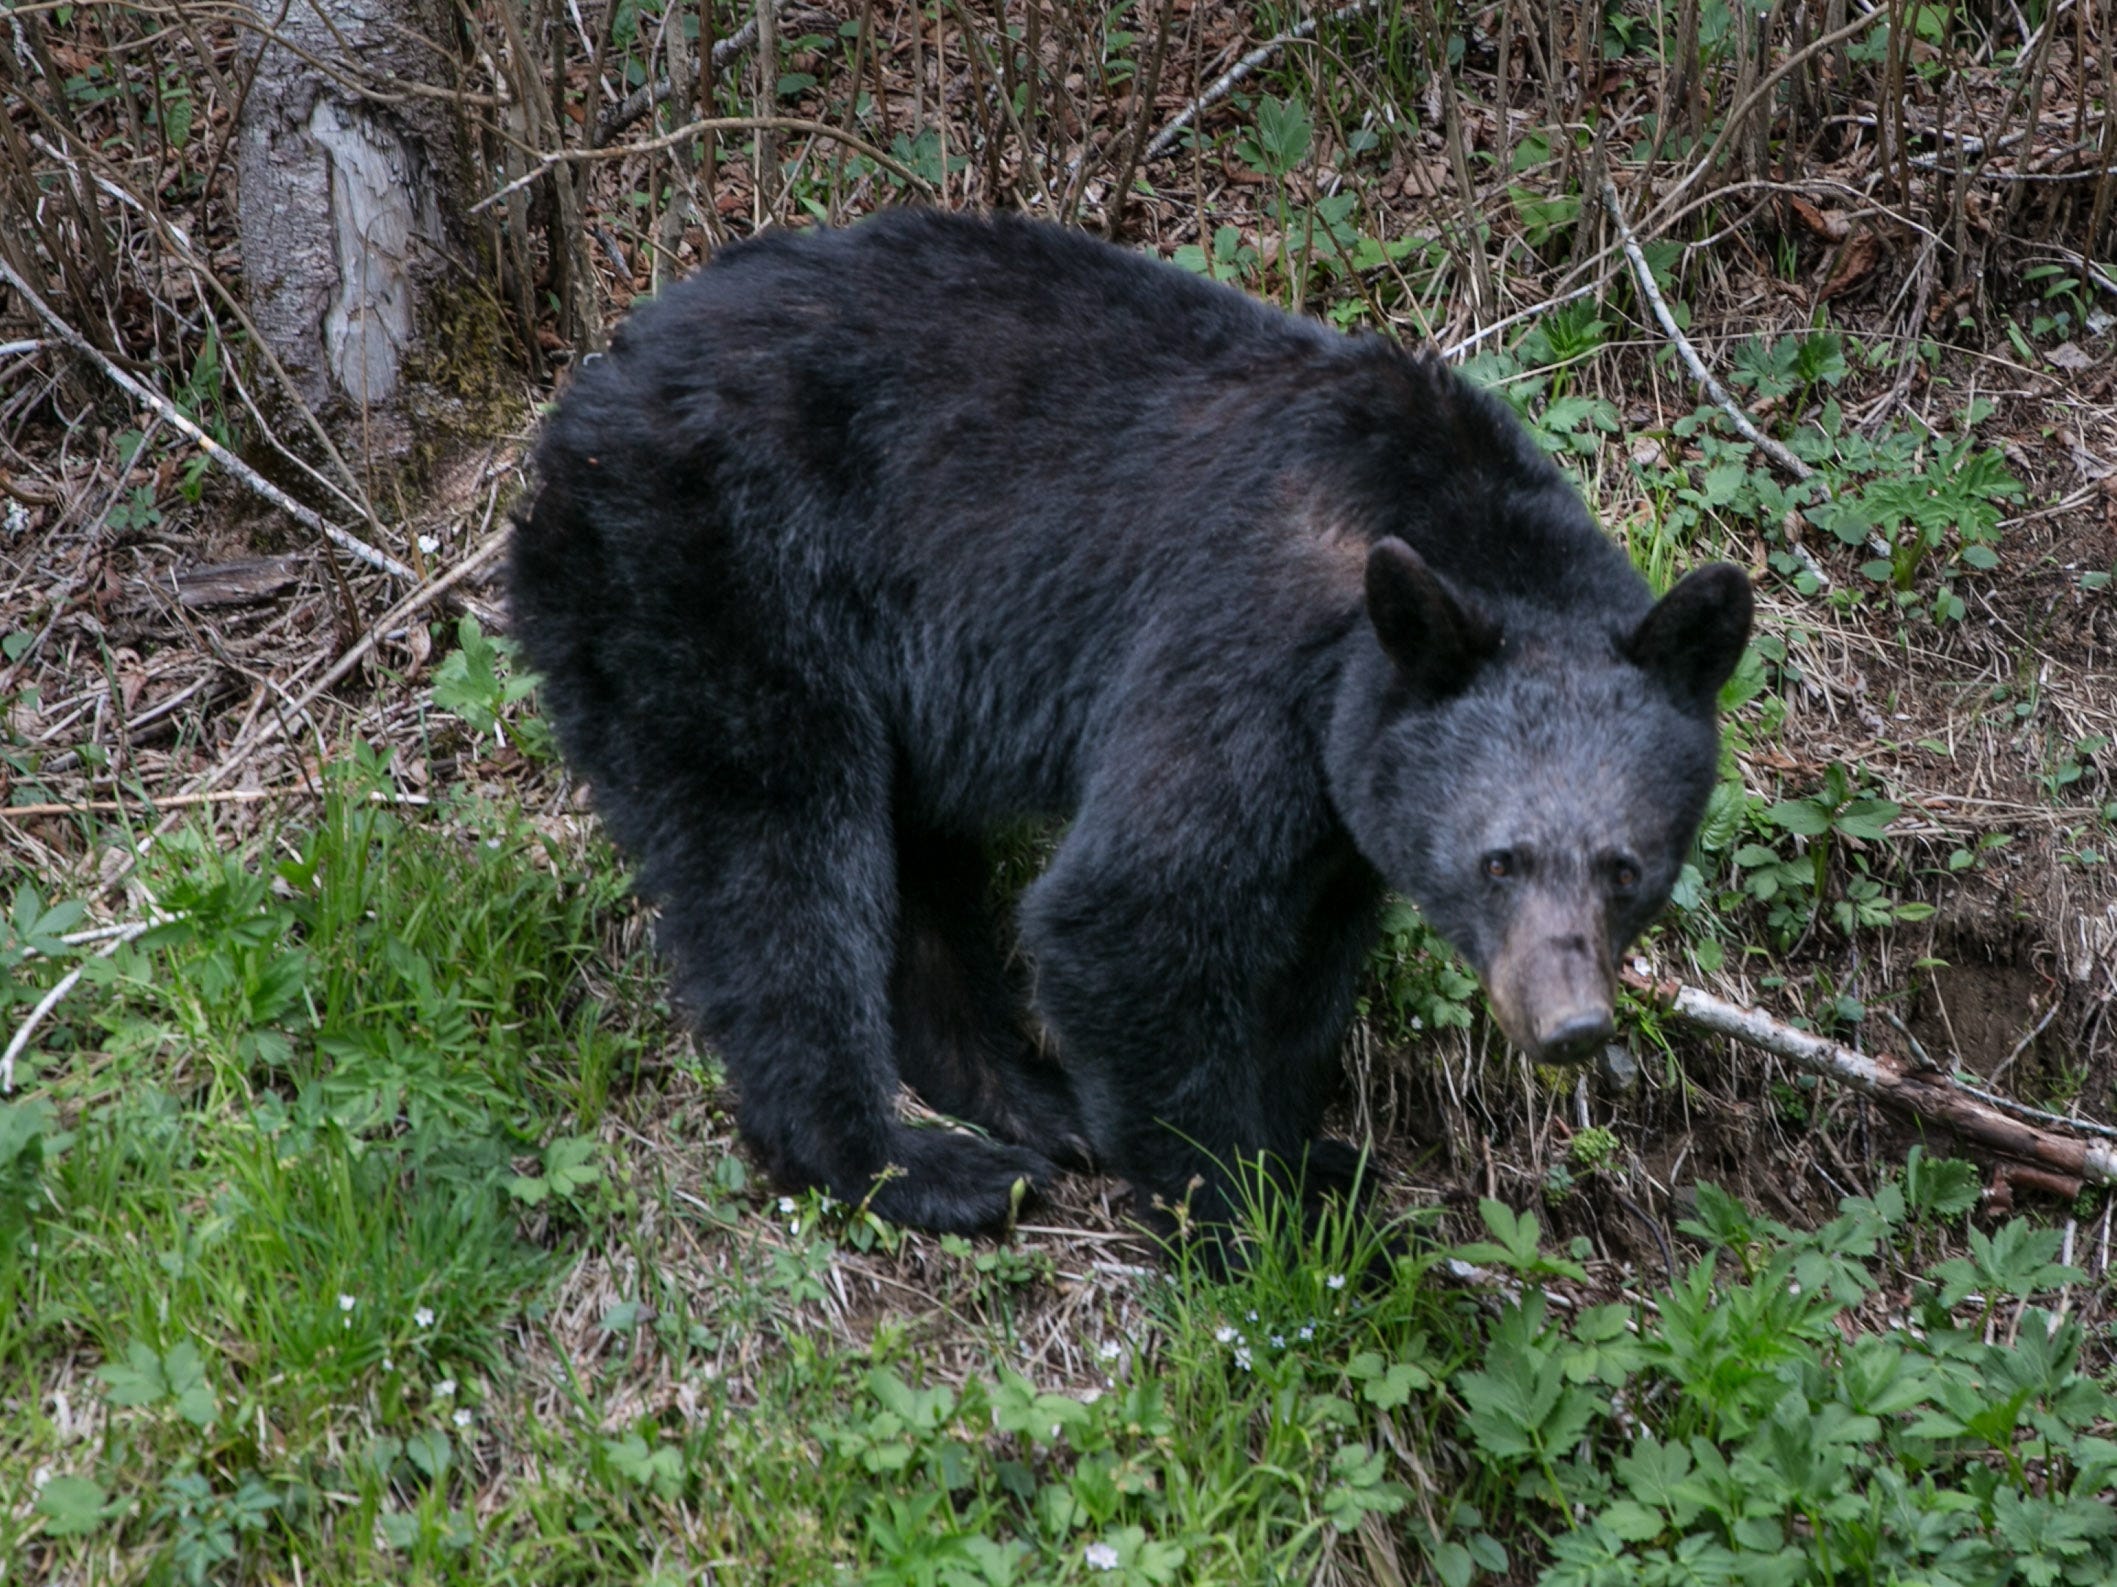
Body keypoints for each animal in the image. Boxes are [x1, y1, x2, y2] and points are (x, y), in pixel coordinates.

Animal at [512, 205, 1752, 1244]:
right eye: (1499, 860)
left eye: (1626, 867)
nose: (1569, 1026)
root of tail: (580, 402)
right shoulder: (1241, 655)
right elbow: (1129, 915)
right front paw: (1244, 1215)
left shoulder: (1343, 791)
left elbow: (1304, 966)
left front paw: (1305, 1157)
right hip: (717, 581)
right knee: (776, 857)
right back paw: (910, 1165)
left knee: (911, 868)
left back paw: (1028, 1098)